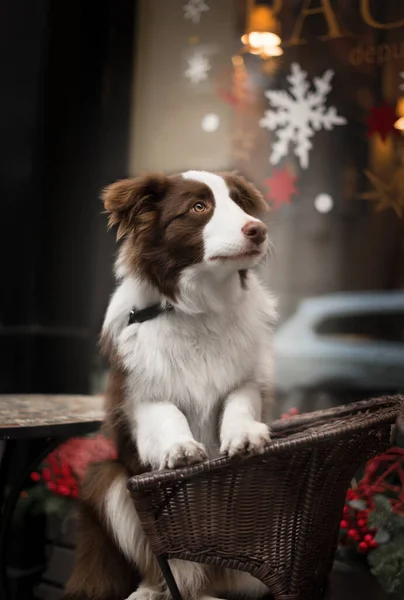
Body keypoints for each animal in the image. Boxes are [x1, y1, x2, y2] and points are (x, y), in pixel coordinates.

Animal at [64, 169, 278, 600]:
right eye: (198, 207)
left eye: (239, 204)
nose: (258, 230)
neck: (198, 307)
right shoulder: (137, 394)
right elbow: (166, 413)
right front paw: (180, 448)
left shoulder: (247, 377)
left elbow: (239, 401)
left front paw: (245, 436)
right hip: (108, 479)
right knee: (167, 566)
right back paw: (150, 590)